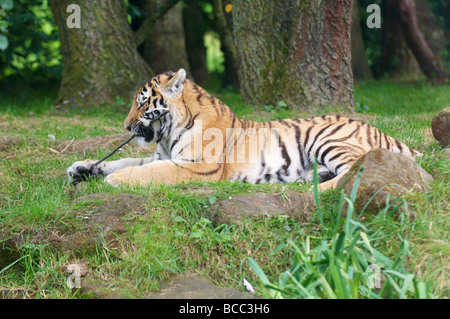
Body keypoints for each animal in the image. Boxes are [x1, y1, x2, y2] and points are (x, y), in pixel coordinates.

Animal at [66, 68, 422, 190]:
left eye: (142, 104)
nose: (125, 125)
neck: (166, 134)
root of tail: (384, 132)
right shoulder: (159, 155)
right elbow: (124, 160)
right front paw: (81, 168)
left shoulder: (198, 167)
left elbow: (145, 171)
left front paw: (114, 180)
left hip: (328, 139)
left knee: (355, 171)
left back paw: (318, 188)